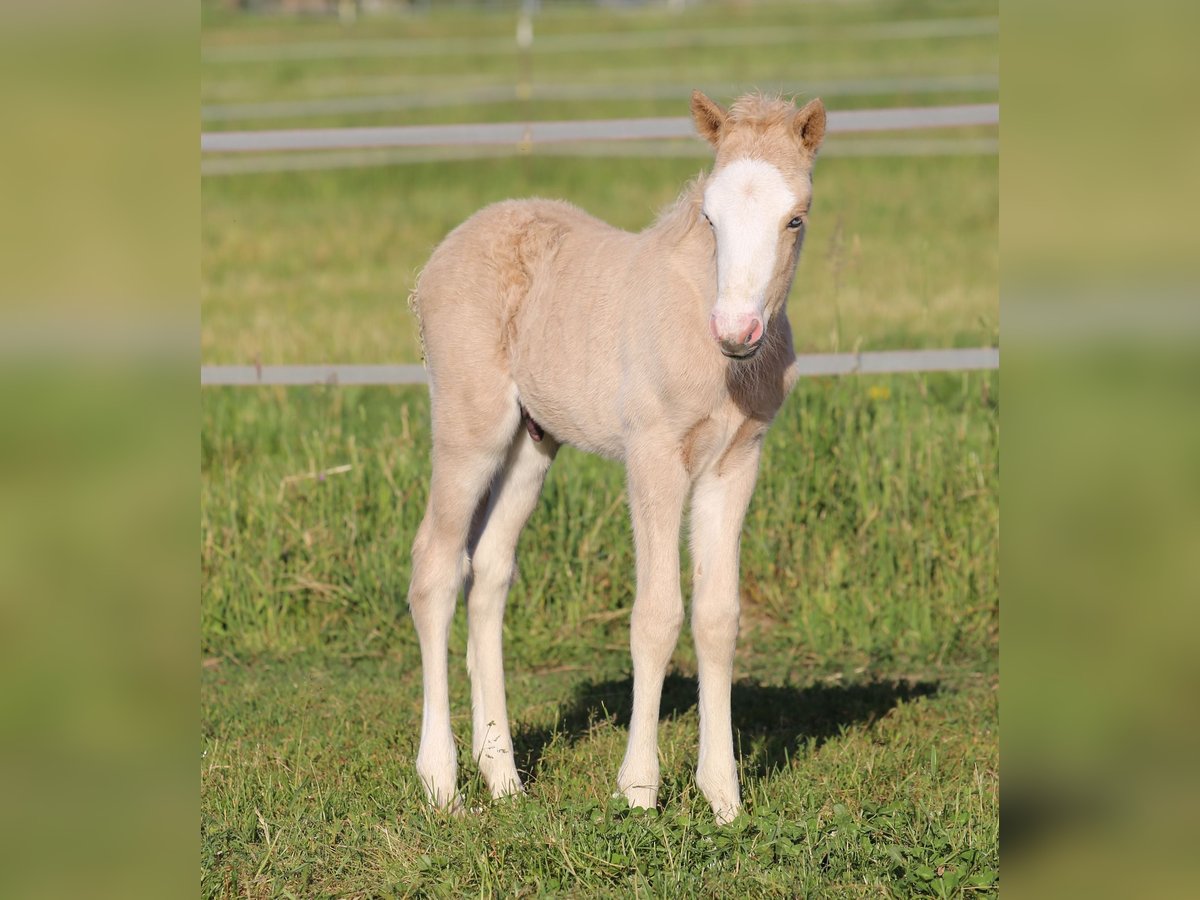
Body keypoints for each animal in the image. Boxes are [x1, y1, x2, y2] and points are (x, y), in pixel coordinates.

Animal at [407, 91, 826, 824]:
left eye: (794, 217)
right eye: (710, 216)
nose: (736, 331)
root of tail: (446, 250)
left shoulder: (735, 464)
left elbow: (717, 616)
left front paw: (723, 798)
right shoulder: (653, 454)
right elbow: (656, 615)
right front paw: (638, 790)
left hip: (531, 442)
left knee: (489, 572)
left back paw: (503, 776)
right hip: (471, 427)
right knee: (435, 567)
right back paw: (442, 784)